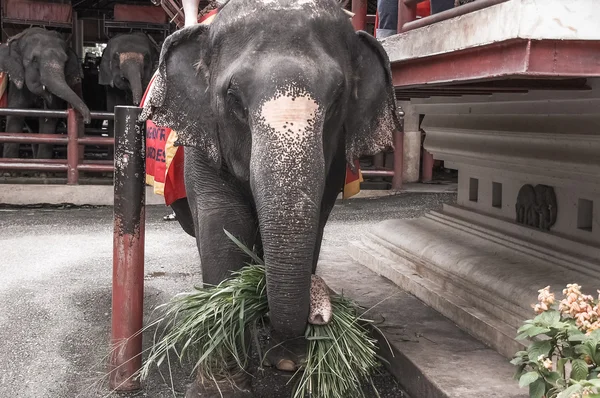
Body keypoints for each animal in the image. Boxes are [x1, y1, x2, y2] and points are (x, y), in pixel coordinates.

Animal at [0, 27, 90, 159]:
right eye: (35, 60)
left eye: (65, 61)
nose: (87, 120)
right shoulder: (16, 83)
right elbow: (15, 116)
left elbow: (49, 121)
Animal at [142, 0, 404, 394]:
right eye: (233, 98)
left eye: (338, 98)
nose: (318, 316)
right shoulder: (203, 142)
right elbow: (224, 224)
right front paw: (220, 386)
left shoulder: (334, 159)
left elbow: (315, 222)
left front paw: (288, 363)